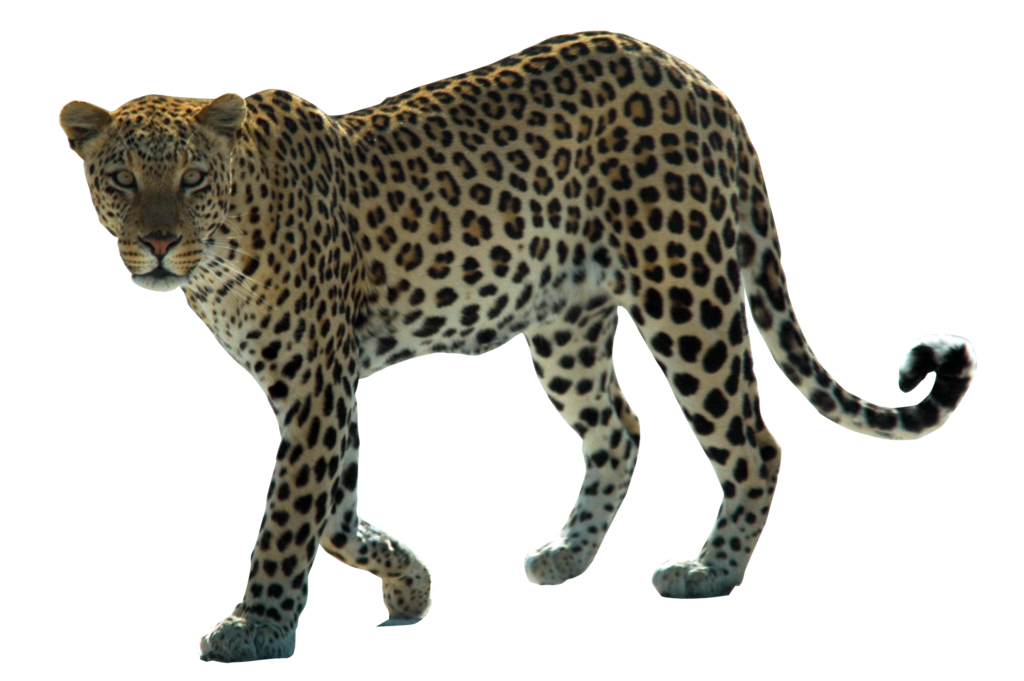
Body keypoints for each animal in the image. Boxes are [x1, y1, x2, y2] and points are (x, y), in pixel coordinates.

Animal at [57, 30, 979, 662]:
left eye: (191, 180)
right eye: (120, 179)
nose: (158, 244)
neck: (223, 251)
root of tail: (696, 75)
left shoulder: (316, 385)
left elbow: (289, 515)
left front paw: (255, 625)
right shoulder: (326, 388)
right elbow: (336, 513)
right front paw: (409, 582)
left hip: (684, 291)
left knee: (754, 440)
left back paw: (708, 573)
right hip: (565, 324)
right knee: (620, 427)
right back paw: (568, 554)